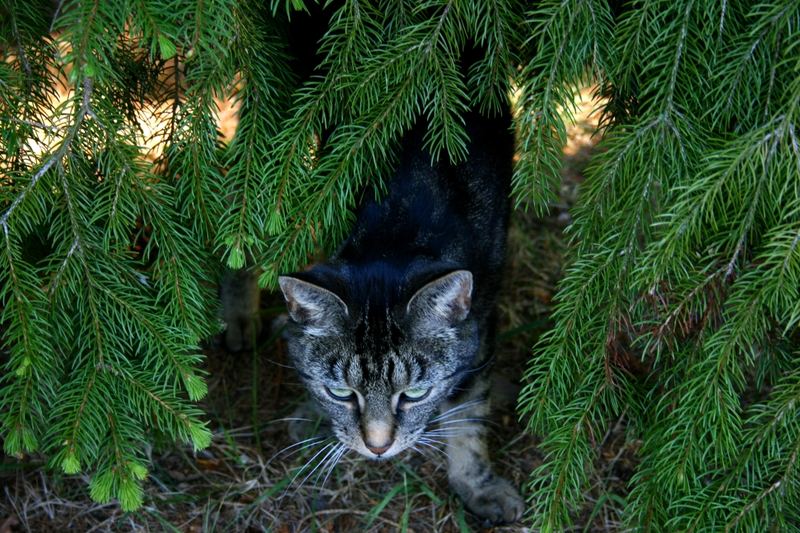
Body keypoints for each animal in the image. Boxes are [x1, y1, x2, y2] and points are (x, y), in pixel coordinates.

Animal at [276, 105, 524, 524]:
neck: (393, 228)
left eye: (415, 394)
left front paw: (478, 484)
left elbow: (470, 413)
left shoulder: (481, 324)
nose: (378, 447)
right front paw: (314, 412)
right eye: (340, 393)